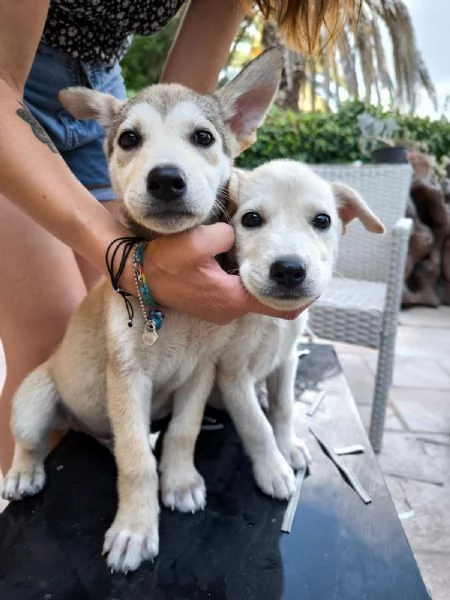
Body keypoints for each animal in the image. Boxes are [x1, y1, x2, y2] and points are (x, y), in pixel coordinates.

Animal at [0, 50, 282, 572]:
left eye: (204, 137)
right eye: (130, 138)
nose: (166, 179)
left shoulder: (200, 373)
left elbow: (182, 434)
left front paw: (180, 481)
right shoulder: (127, 374)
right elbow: (135, 461)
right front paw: (135, 529)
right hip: (33, 399)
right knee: (33, 442)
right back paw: (23, 474)